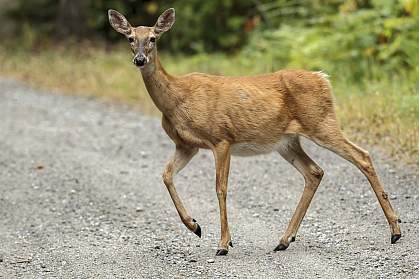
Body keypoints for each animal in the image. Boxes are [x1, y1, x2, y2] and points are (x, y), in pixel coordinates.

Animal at [109, 7, 404, 258]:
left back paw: (396, 231)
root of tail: (323, 78)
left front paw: (224, 244)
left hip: (321, 122)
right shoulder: (187, 145)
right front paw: (195, 226)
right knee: (315, 171)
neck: (177, 99)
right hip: (287, 142)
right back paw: (284, 240)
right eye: (130, 38)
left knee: (362, 156)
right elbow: (166, 175)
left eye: (153, 38)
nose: (139, 59)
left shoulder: (221, 138)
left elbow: (220, 188)